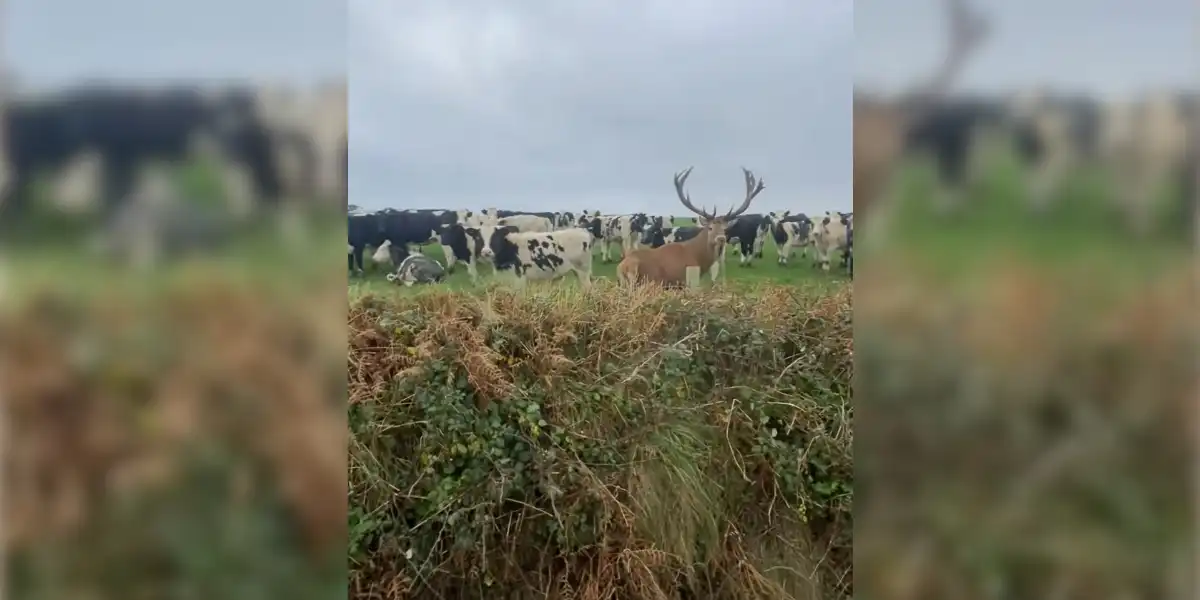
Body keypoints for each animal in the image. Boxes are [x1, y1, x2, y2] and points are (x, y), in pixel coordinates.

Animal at [617, 166, 764, 288]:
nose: (721, 239)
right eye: (710, 227)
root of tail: (622, 268)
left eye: (725, 229)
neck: (696, 256)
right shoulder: (682, 279)